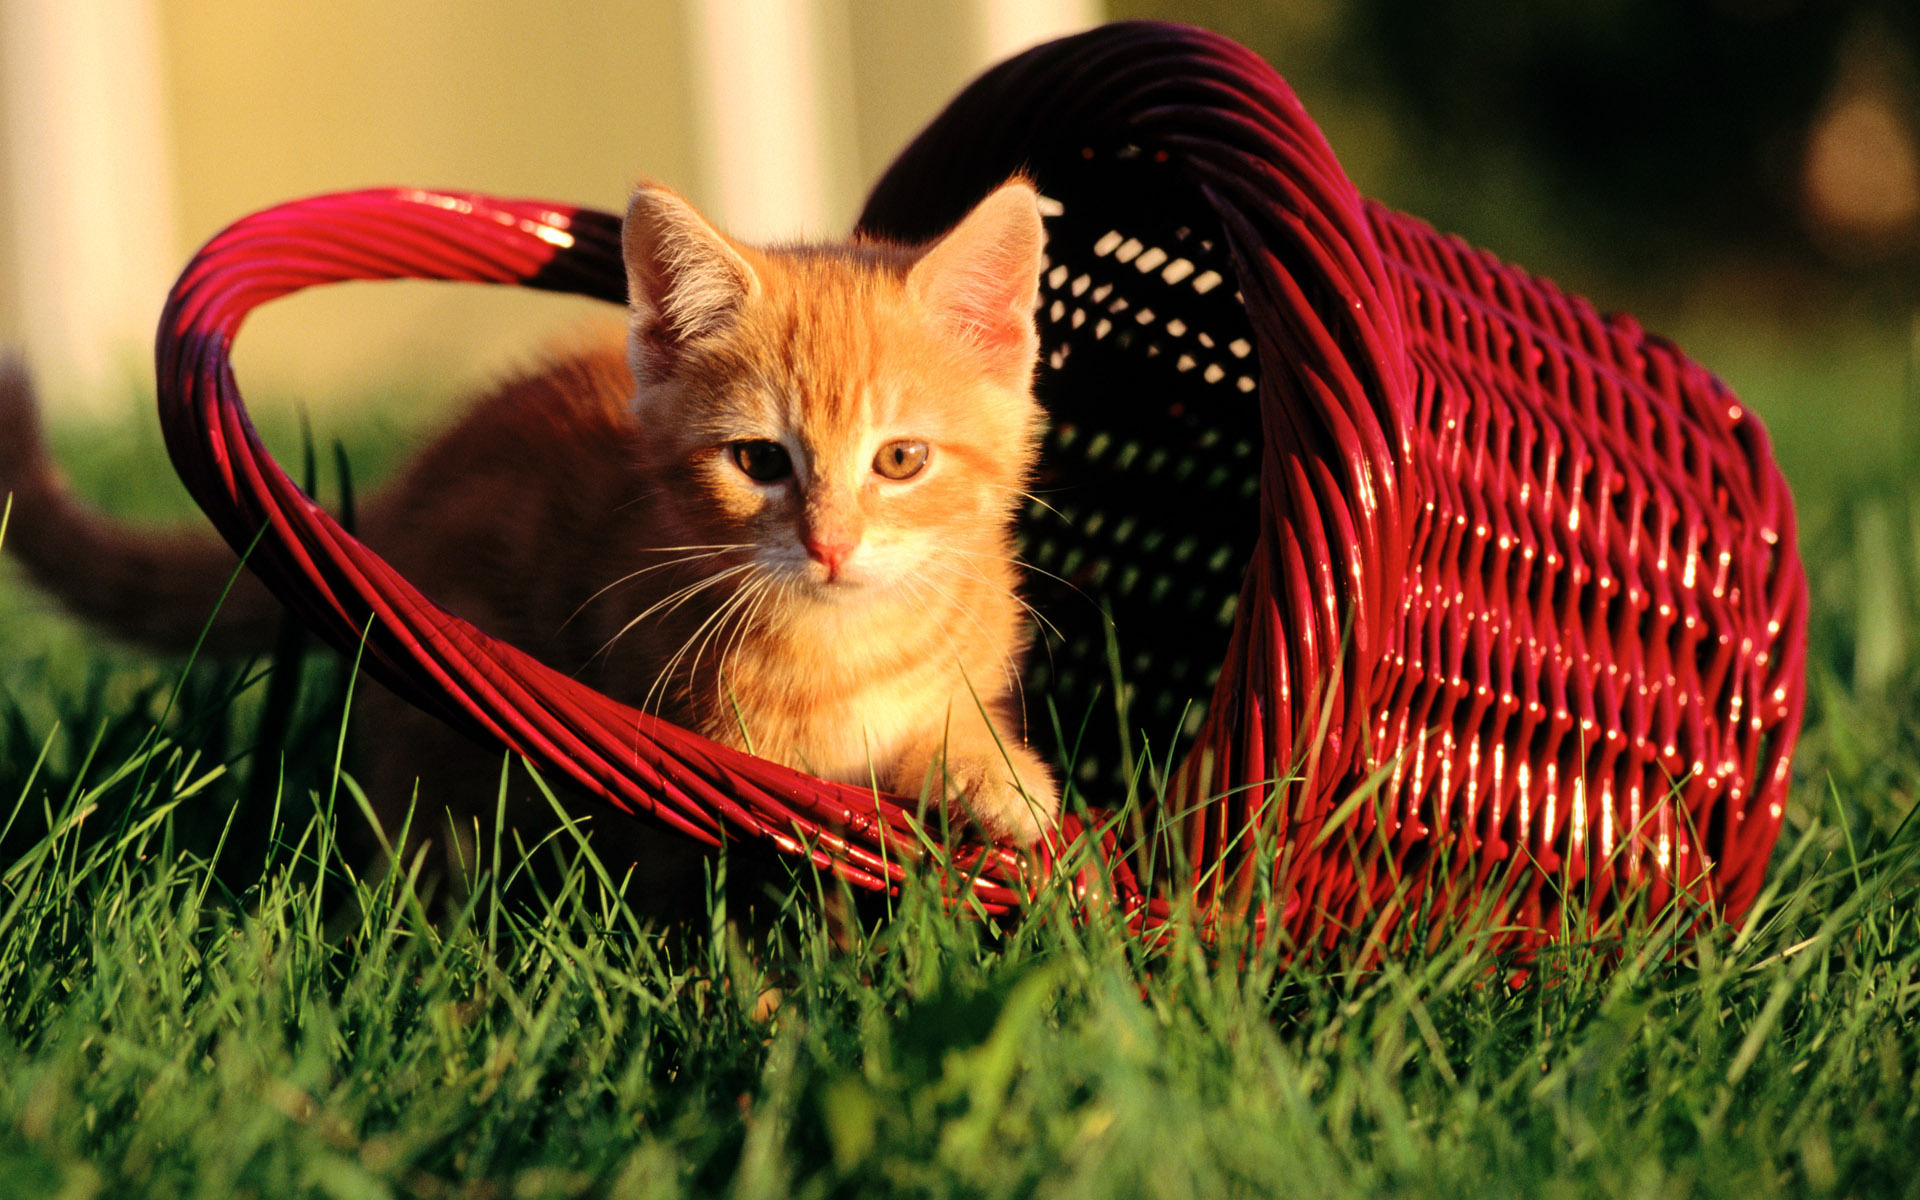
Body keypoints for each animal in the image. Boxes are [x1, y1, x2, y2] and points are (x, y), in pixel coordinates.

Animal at [0, 177, 1059, 875]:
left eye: (901, 461)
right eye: (760, 462)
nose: (830, 545)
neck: (847, 644)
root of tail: (406, 489)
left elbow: (948, 732)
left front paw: (1004, 784)